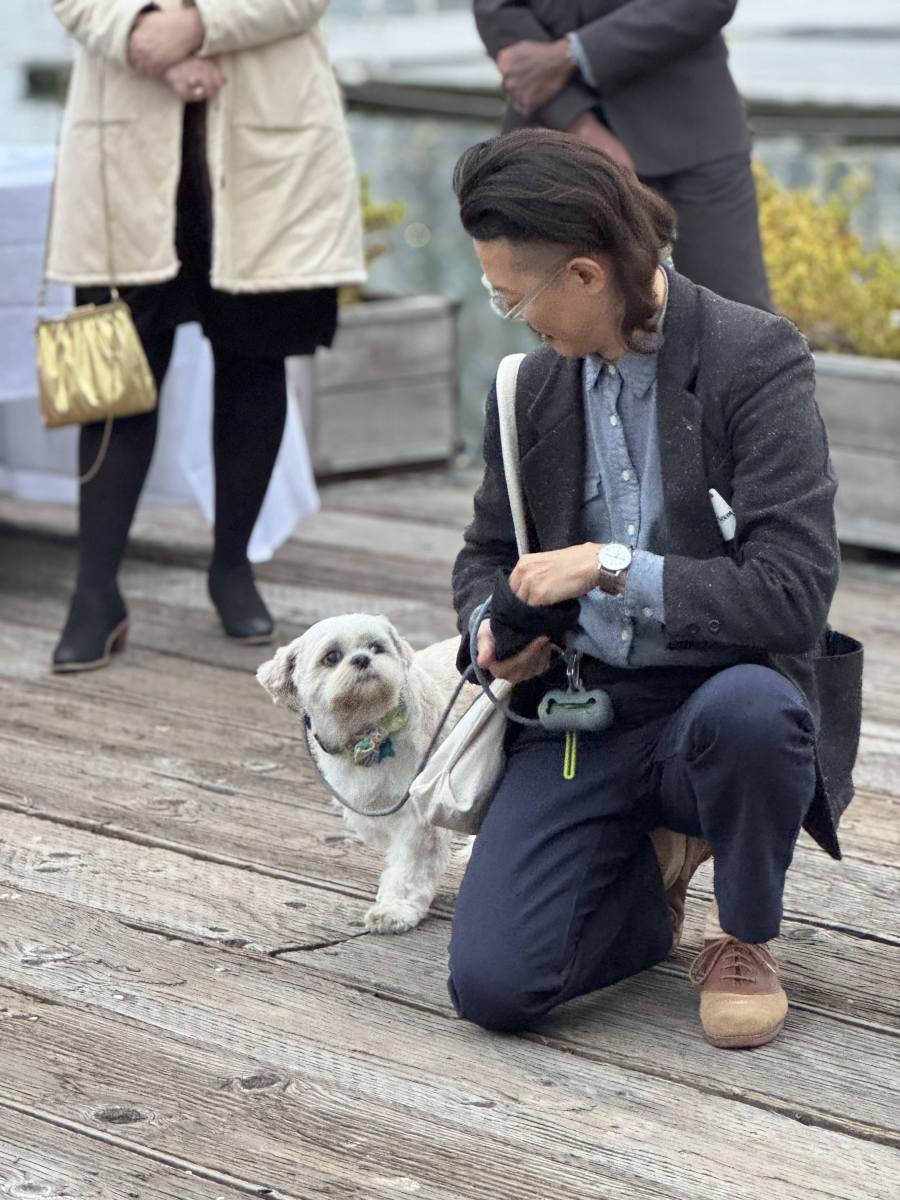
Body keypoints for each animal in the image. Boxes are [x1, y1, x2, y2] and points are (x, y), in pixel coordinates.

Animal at [257, 614, 475, 934]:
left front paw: (397, 909)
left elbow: (411, 865)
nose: (362, 659)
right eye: (331, 657)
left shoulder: (418, 819)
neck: (370, 731)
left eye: (376, 647)